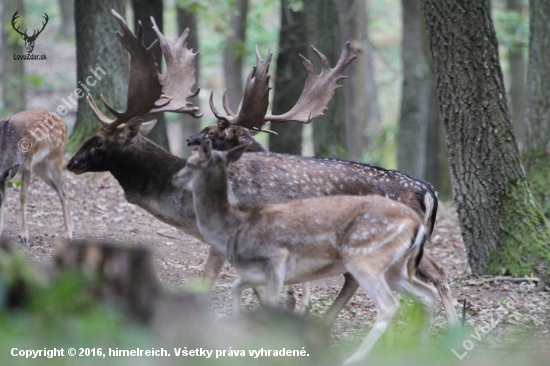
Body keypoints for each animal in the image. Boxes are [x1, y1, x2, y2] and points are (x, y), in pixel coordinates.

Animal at [0, 108, 73, 243]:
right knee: (59, 187)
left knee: (63, 189)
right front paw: (1, 229)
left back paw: (68, 233)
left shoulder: (27, 165)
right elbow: (6, 197)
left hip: (56, 156)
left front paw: (24, 235)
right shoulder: (7, 174)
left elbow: (23, 197)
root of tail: (64, 123)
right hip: (39, 166)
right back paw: (72, 227)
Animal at [175, 139, 438, 364]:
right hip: (395, 267)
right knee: (425, 291)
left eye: (216, 131)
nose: (190, 141)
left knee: (408, 291)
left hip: (369, 259)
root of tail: (429, 191)